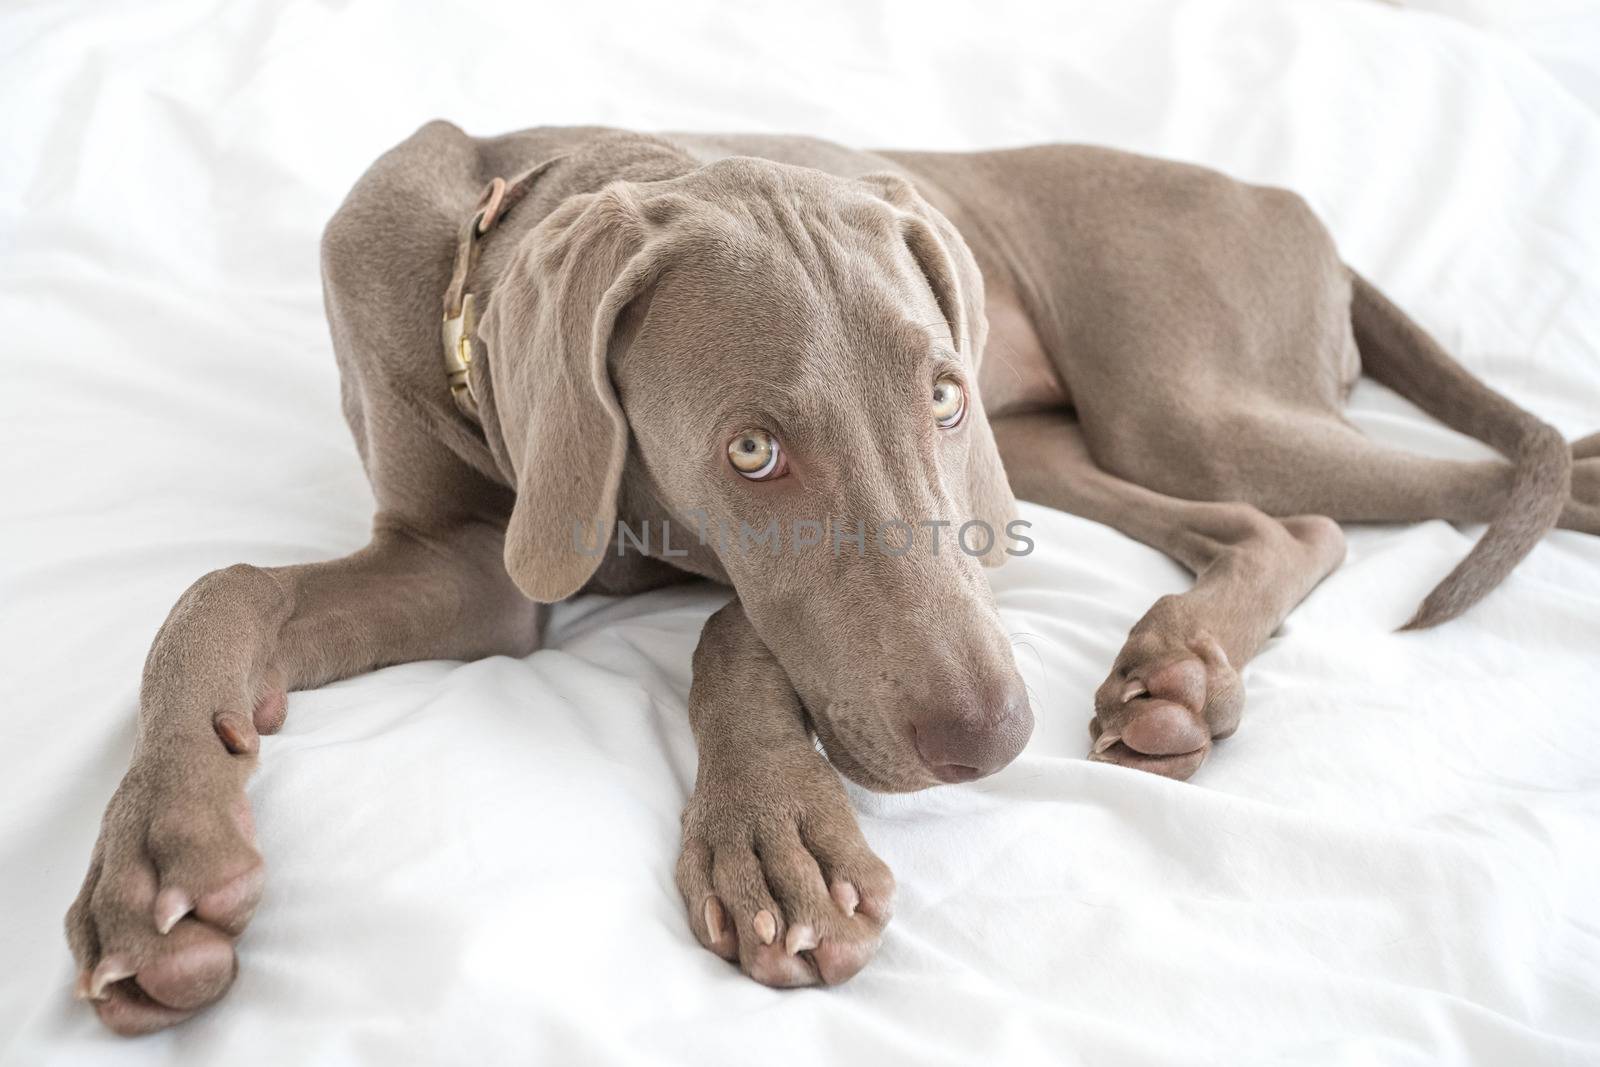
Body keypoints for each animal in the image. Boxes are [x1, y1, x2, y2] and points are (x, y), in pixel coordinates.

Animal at [65, 125, 1600, 1036]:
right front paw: (161, 862)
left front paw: (774, 842)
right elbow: (216, 589)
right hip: (1074, 446)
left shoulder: (955, 499)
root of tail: (1280, 195)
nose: (994, 742)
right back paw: (1179, 669)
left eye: (935, 392)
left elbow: (738, 628)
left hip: (1157, 402)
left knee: (1434, 485)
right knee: (1278, 526)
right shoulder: (467, 570)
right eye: (751, 447)